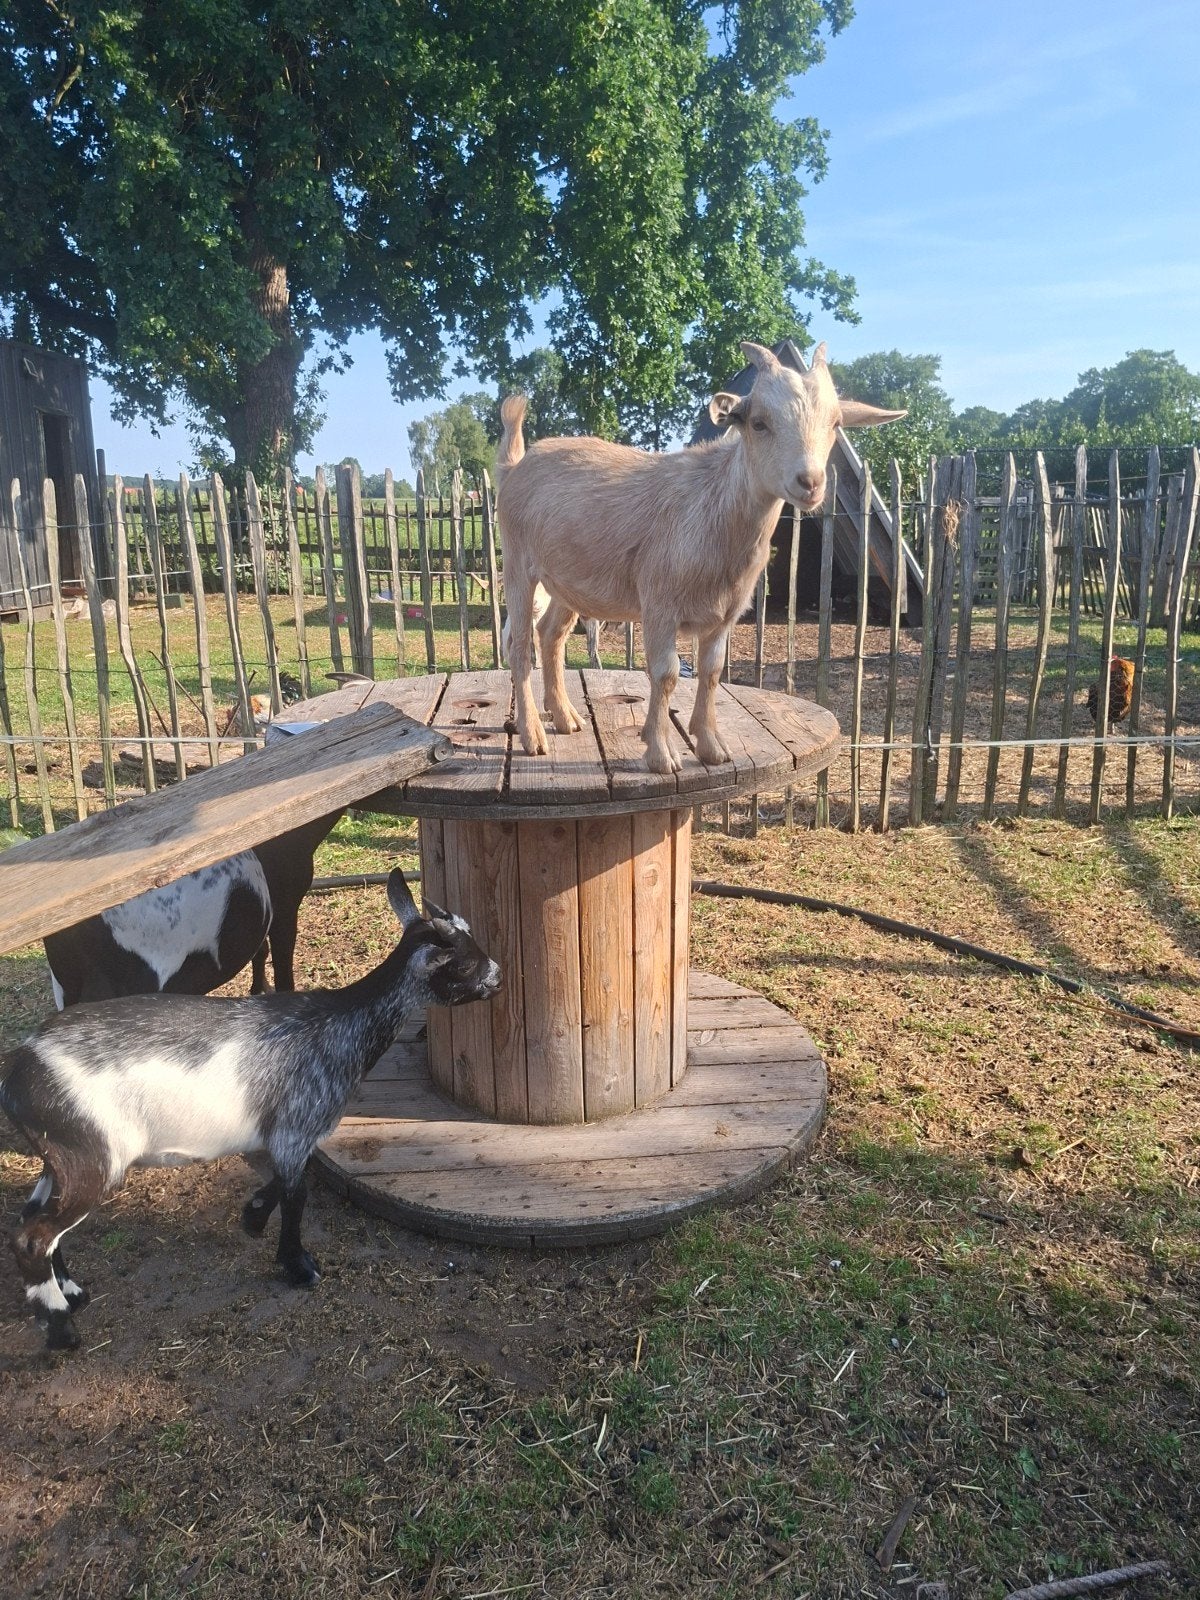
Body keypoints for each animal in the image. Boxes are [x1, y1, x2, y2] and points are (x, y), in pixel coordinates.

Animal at [3, 869, 500, 1352]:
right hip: (92, 1158)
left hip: (62, 1156)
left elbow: (282, 1182)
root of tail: (20, 1072)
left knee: (32, 1217)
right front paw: (298, 1265)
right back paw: (61, 1330)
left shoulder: (284, 1134)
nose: (497, 976)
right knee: (33, 1238)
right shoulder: (297, 1127)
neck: (342, 1022)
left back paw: (70, 1291)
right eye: (464, 961)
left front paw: (253, 1216)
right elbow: (298, 1195)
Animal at [496, 340, 904, 773]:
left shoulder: (725, 613)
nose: (809, 482)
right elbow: (666, 674)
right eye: (758, 423)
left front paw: (712, 747)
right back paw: (533, 736)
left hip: (567, 583)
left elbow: (711, 672)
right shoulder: (659, 603)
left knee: (550, 635)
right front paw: (662, 754)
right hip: (519, 565)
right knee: (519, 646)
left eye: (836, 423)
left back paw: (565, 718)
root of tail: (515, 467)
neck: (713, 505)